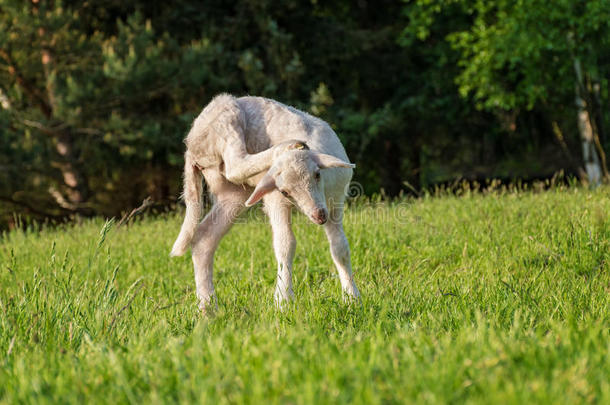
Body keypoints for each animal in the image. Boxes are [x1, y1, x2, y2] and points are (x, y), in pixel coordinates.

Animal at [171, 93, 358, 310]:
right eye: (285, 191)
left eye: (317, 174)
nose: (319, 216)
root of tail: (191, 145)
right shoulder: (276, 200)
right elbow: (286, 244)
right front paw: (283, 300)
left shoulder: (335, 201)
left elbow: (340, 247)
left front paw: (352, 297)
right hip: (224, 118)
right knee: (236, 164)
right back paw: (286, 146)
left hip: (231, 191)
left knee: (204, 237)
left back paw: (208, 307)